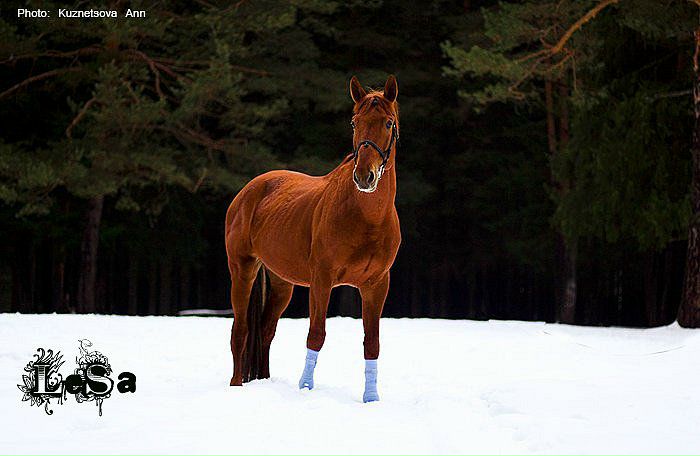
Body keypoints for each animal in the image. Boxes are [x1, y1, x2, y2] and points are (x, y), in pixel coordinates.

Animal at [225, 75, 401, 402]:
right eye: (355, 122)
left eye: (388, 123)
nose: (364, 176)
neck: (367, 218)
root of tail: (250, 189)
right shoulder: (322, 280)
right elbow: (316, 334)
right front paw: (305, 388)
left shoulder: (376, 285)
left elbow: (372, 342)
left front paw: (371, 398)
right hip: (242, 270)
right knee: (240, 330)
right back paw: (236, 385)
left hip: (282, 284)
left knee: (266, 330)